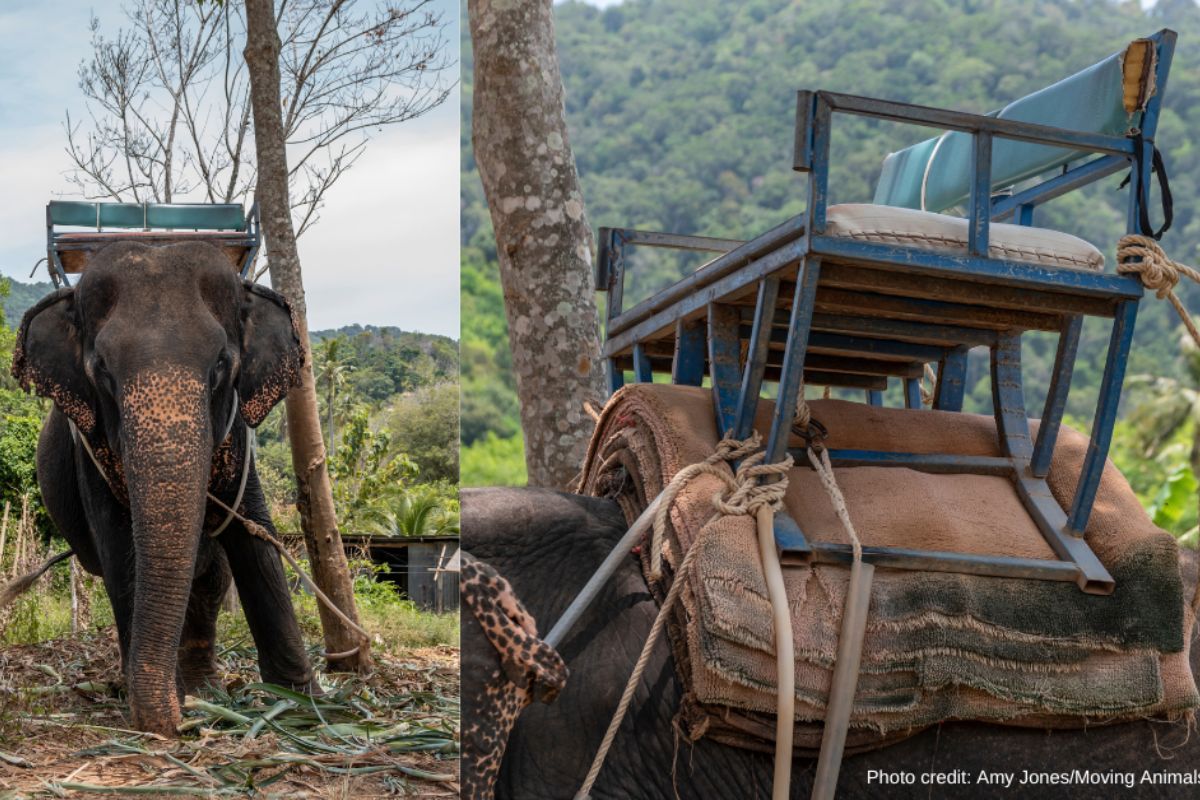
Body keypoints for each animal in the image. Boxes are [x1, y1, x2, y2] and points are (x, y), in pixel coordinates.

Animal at [11, 241, 315, 736]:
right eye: (102, 371)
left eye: (220, 365)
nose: (177, 723)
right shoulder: (88, 454)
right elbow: (121, 553)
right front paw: (161, 709)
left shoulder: (238, 441)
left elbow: (255, 539)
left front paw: (305, 705)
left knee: (210, 580)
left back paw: (205, 690)